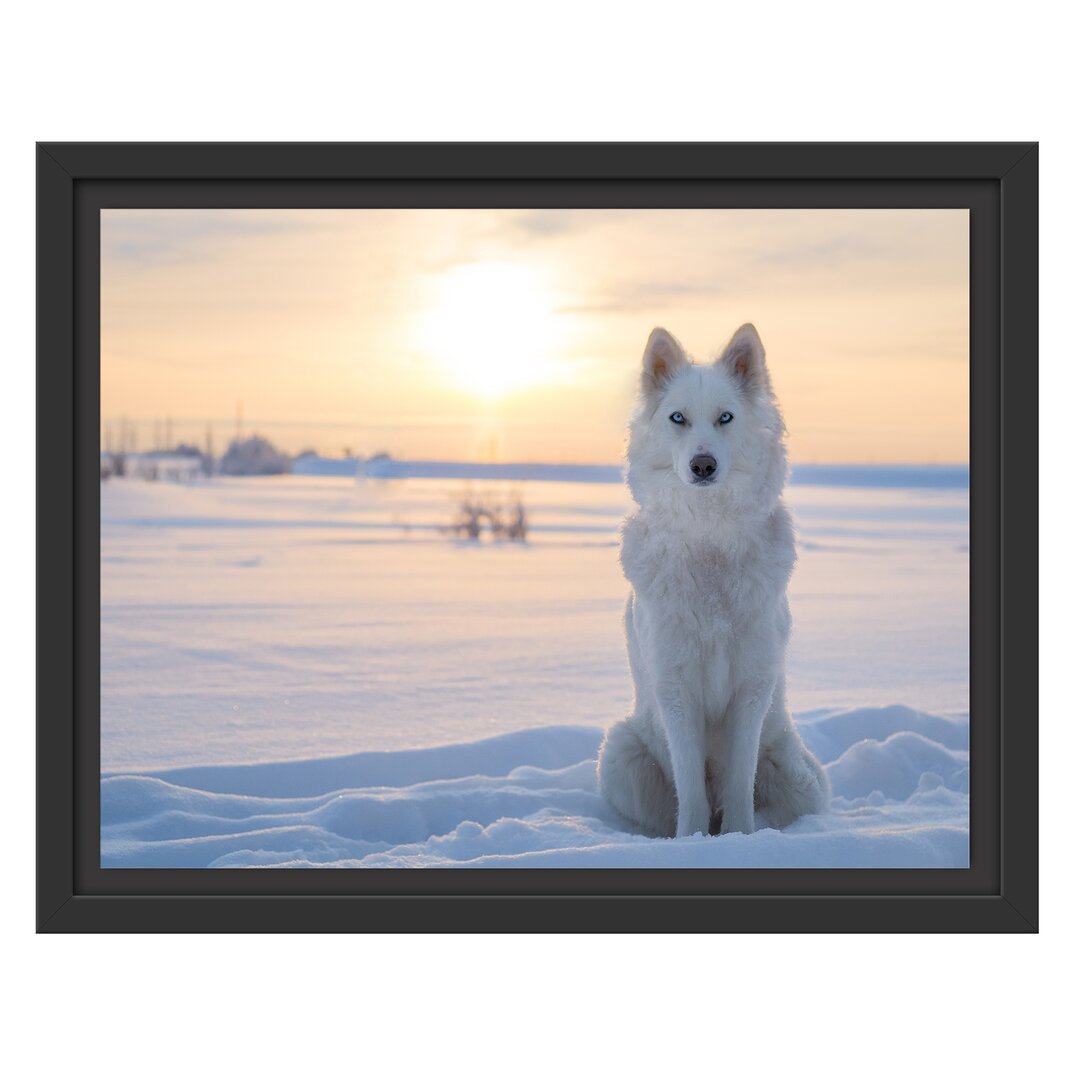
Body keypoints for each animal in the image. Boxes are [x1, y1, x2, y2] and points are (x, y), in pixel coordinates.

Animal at [600, 319, 825, 833]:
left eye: (725, 418)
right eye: (677, 418)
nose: (703, 465)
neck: (710, 541)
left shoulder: (752, 687)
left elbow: (741, 783)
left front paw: (740, 837)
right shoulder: (676, 690)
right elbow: (691, 790)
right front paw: (694, 839)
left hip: (800, 776)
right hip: (620, 755)